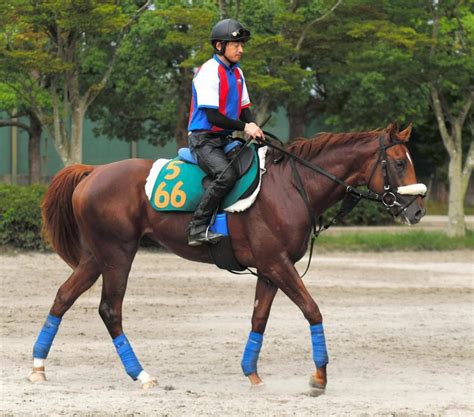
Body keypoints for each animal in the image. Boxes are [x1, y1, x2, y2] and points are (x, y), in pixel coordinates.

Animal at [30, 123, 426, 390]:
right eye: (397, 163)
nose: (418, 211)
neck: (290, 186)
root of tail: (93, 171)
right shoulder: (277, 264)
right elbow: (312, 310)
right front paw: (319, 376)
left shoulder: (269, 269)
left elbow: (259, 318)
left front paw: (252, 373)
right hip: (117, 254)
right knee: (110, 310)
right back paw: (141, 375)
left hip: (97, 257)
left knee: (63, 297)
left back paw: (38, 366)